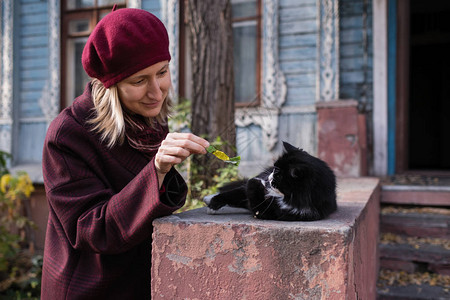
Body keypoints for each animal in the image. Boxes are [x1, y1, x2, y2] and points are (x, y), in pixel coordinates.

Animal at [204, 141, 338, 220]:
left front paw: (256, 182)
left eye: (278, 175)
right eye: (274, 168)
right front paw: (213, 204)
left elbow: (252, 192)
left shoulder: (270, 212)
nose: (268, 178)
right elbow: (233, 194)